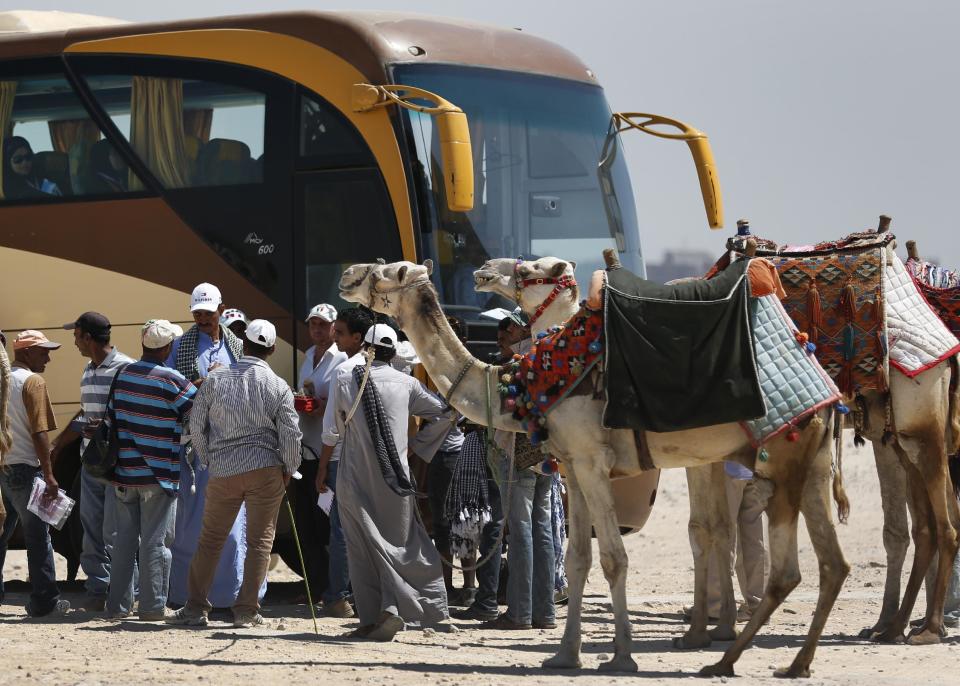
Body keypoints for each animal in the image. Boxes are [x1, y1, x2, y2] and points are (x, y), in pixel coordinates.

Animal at [474, 251, 960, 644]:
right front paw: (713, 621)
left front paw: (713, 620)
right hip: (891, 436)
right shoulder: (701, 456)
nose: (484, 270)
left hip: (922, 426)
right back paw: (891, 625)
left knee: (942, 522)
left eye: (530, 270)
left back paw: (929, 627)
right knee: (913, 526)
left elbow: (712, 530)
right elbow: (710, 529)